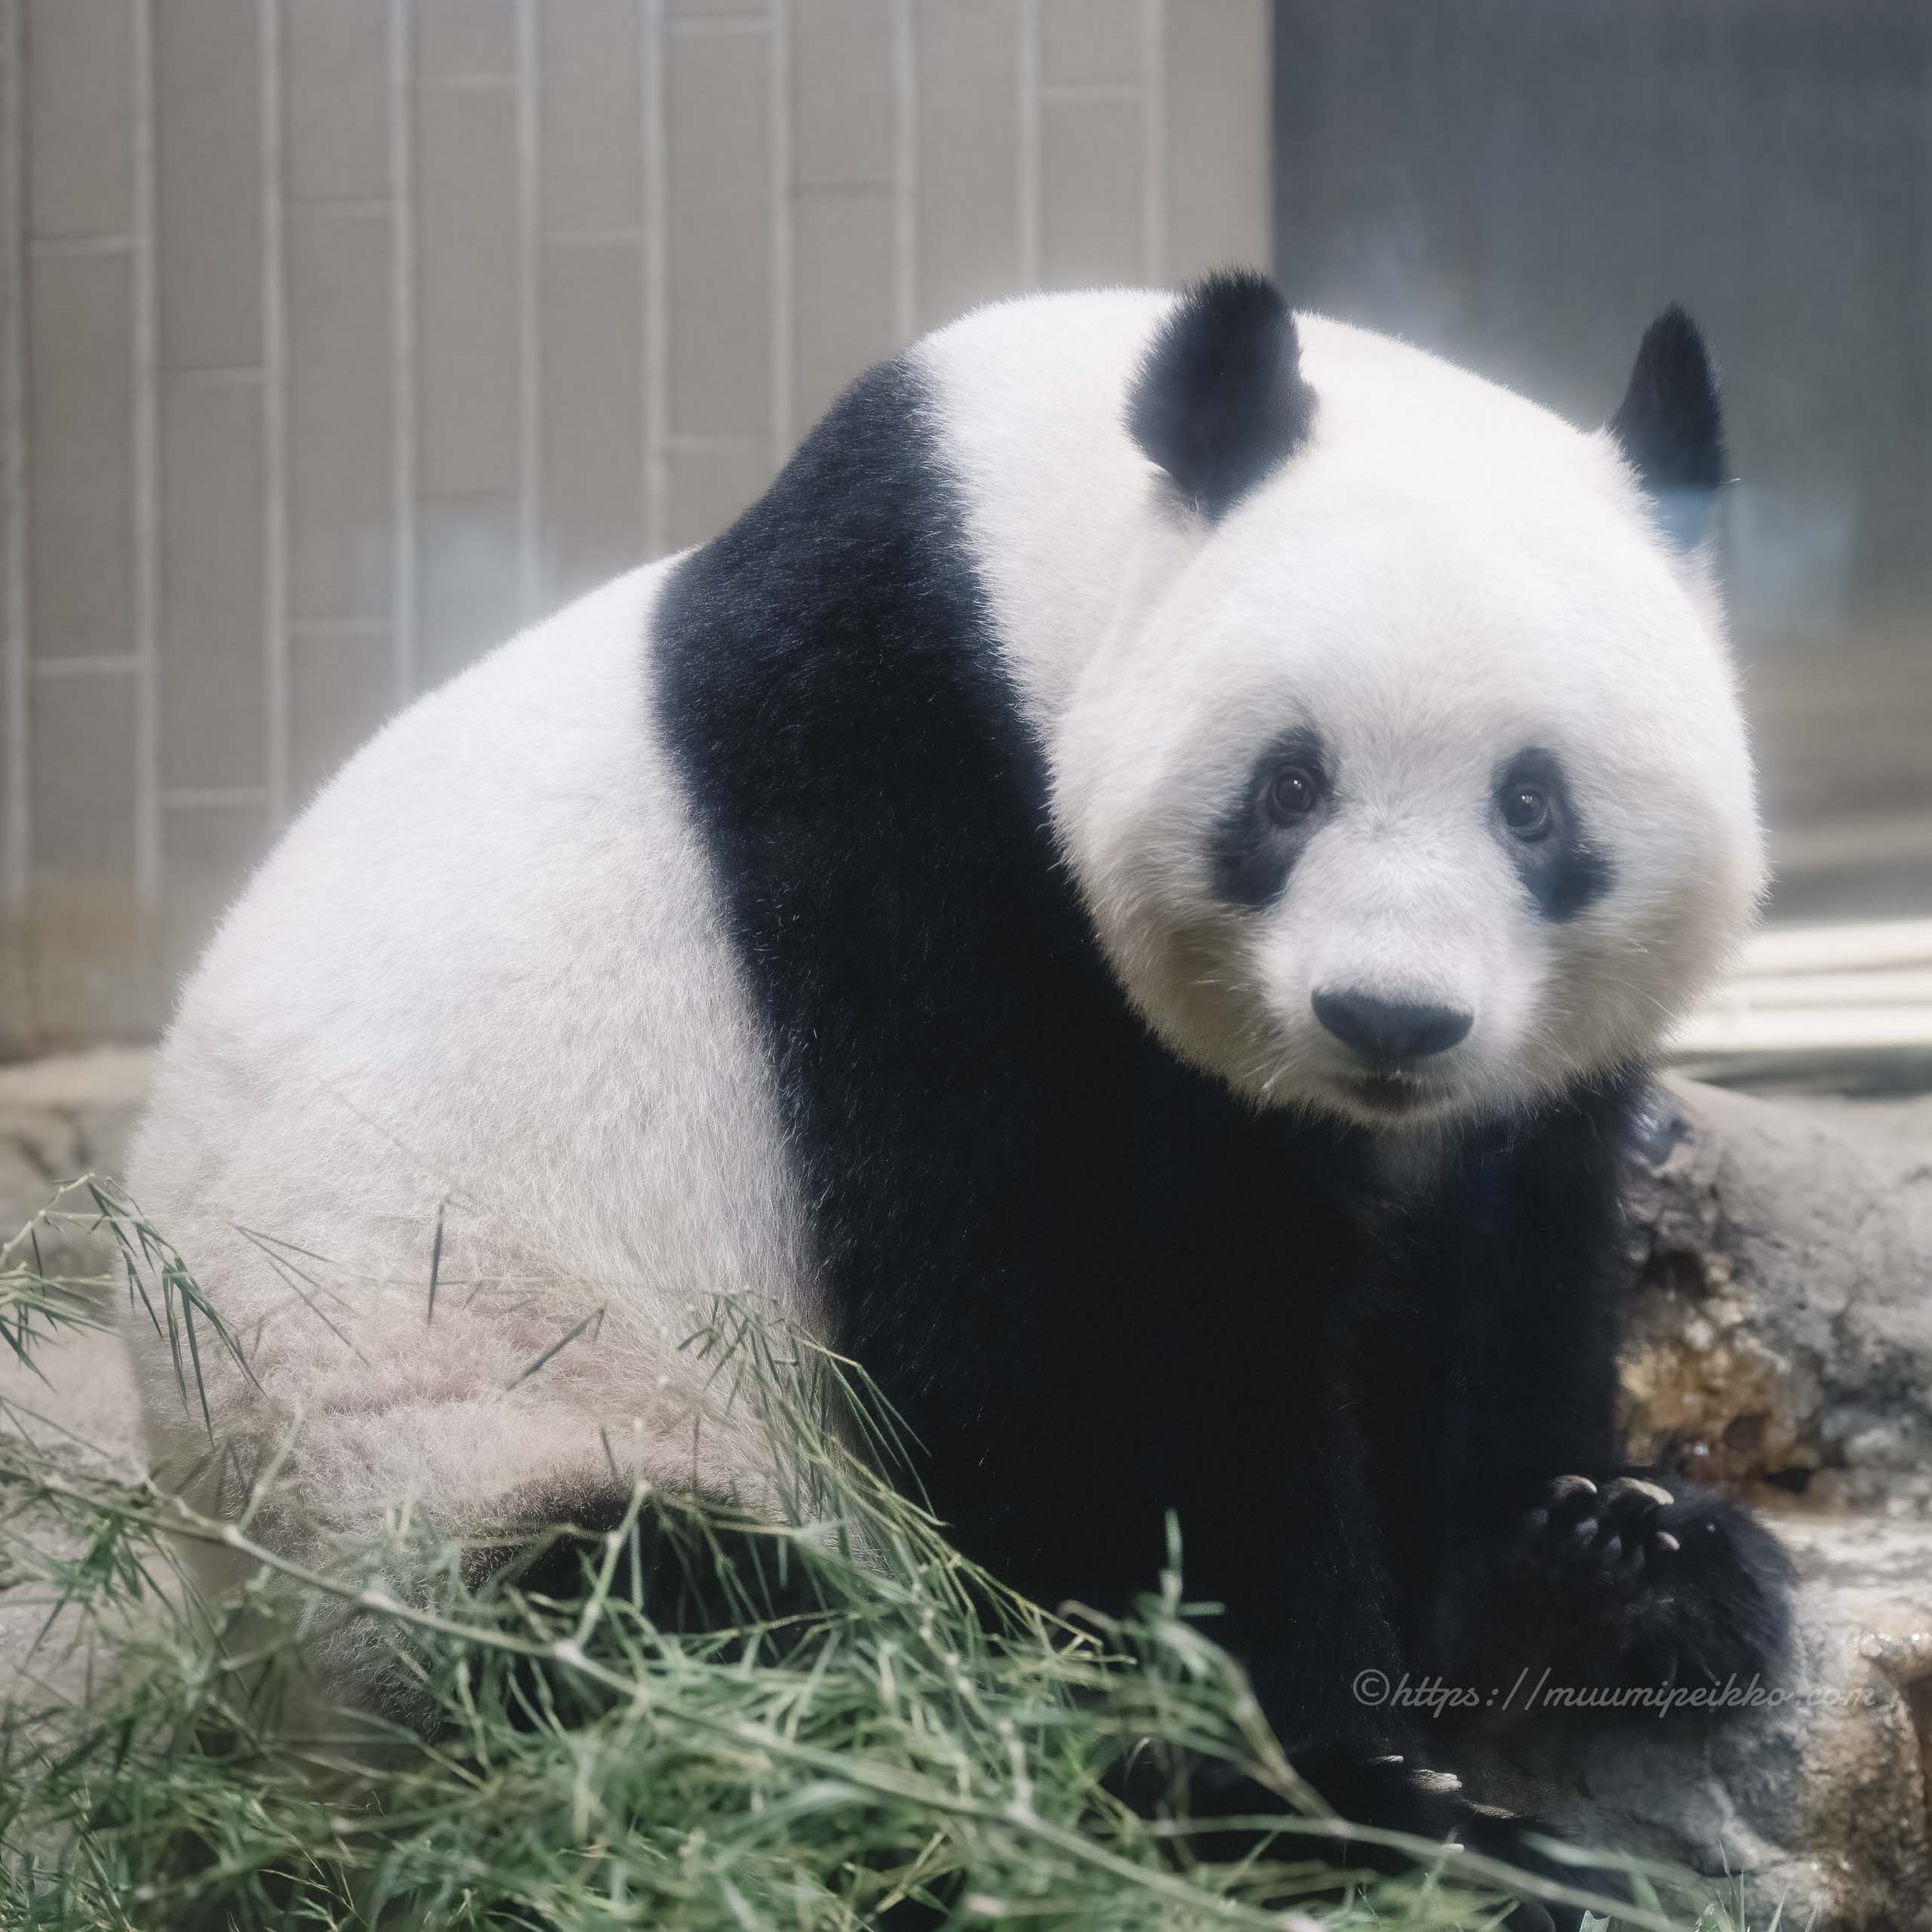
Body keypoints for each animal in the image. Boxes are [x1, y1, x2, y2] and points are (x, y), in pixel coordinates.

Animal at [124, 270, 1793, 1903]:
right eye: (1289, 784)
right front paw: (1339, 1798)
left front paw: (1616, 1560)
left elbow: (1499, 1259)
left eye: (1532, 804)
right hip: (447, 1462)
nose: (1387, 1015)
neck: (1026, 562)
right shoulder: (922, 824)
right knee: (677, 1649)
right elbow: (1089, 1345)